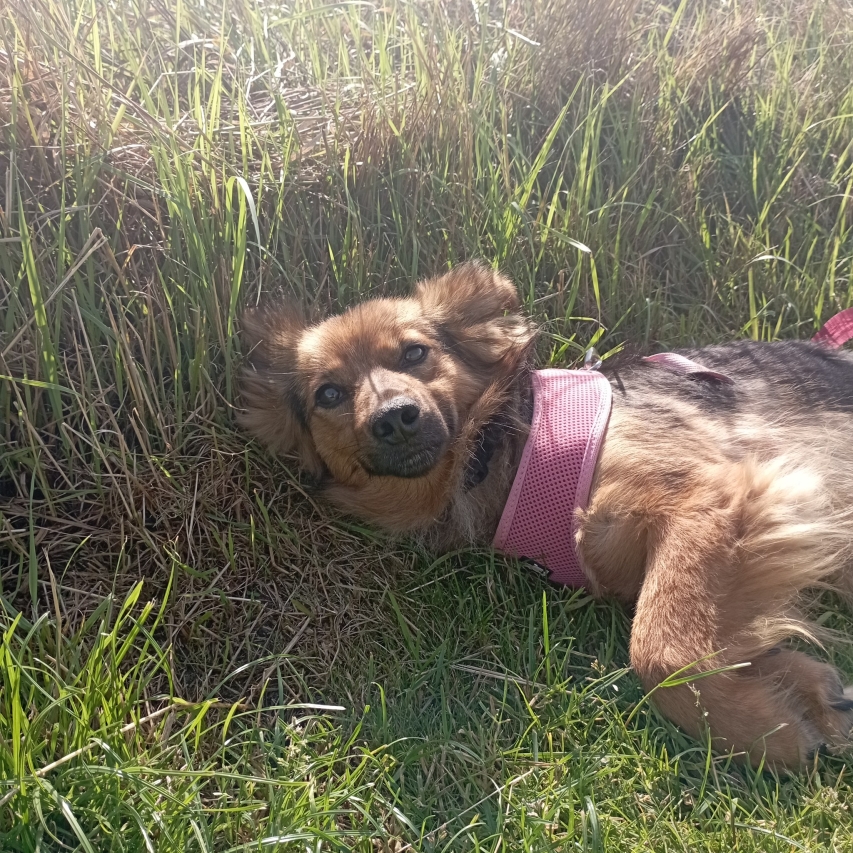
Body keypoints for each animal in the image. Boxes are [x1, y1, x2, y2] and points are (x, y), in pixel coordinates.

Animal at [238, 260, 852, 764]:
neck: (503, 447)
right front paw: (802, 691)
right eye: (329, 394)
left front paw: (766, 732)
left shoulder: (712, 496)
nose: (394, 417)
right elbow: (698, 629)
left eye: (414, 353)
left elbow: (660, 649)